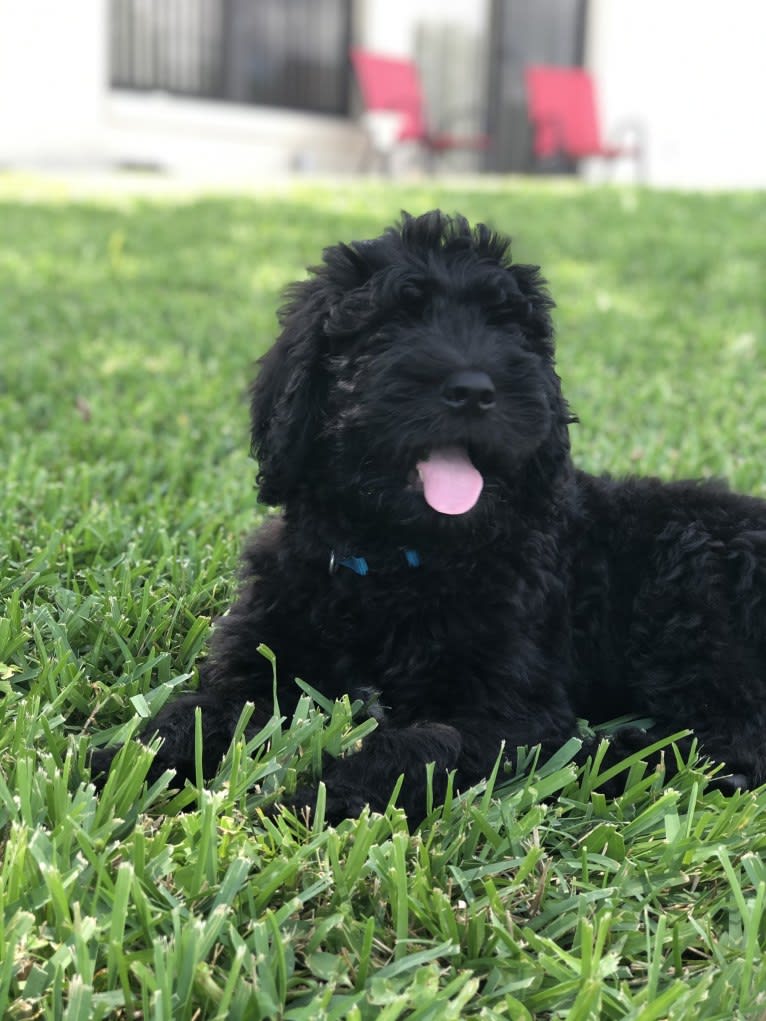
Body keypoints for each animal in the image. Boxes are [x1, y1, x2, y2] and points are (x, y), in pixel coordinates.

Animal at [94, 211, 766, 816]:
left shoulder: (510, 708)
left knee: (738, 737)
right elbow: (200, 711)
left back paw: (625, 756)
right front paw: (121, 766)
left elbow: (425, 745)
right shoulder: (262, 652)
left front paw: (318, 798)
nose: (474, 389)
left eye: (508, 330)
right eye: (391, 323)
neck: (399, 559)